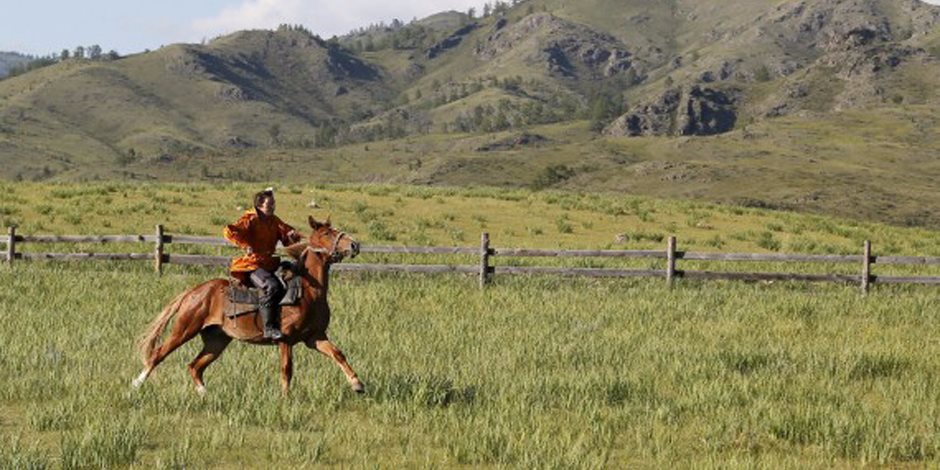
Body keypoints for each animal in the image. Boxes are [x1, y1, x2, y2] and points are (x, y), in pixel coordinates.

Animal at [131, 218, 364, 394]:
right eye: (327, 233)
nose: (354, 245)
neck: (307, 291)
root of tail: (195, 291)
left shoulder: (314, 337)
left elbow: (338, 354)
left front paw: (357, 384)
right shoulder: (285, 340)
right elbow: (286, 369)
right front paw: (286, 397)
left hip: (217, 340)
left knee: (195, 367)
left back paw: (205, 394)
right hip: (184, 329)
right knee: (158, 354)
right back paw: (136, 384)